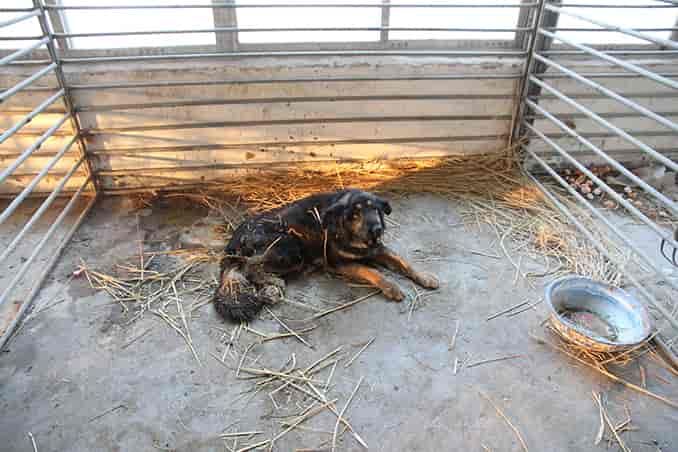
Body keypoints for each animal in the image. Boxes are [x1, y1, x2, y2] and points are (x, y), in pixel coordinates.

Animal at [215, 189, 444, 324]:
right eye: (355, 214)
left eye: (375, 210)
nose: (377, 229)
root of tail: (235, 237)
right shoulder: (339, 263)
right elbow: (370, 271)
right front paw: (391, 286)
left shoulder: (378, 249)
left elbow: (403, 262)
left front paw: (425, 277)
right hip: (291, 248)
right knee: (250, 266)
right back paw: (273, 285)